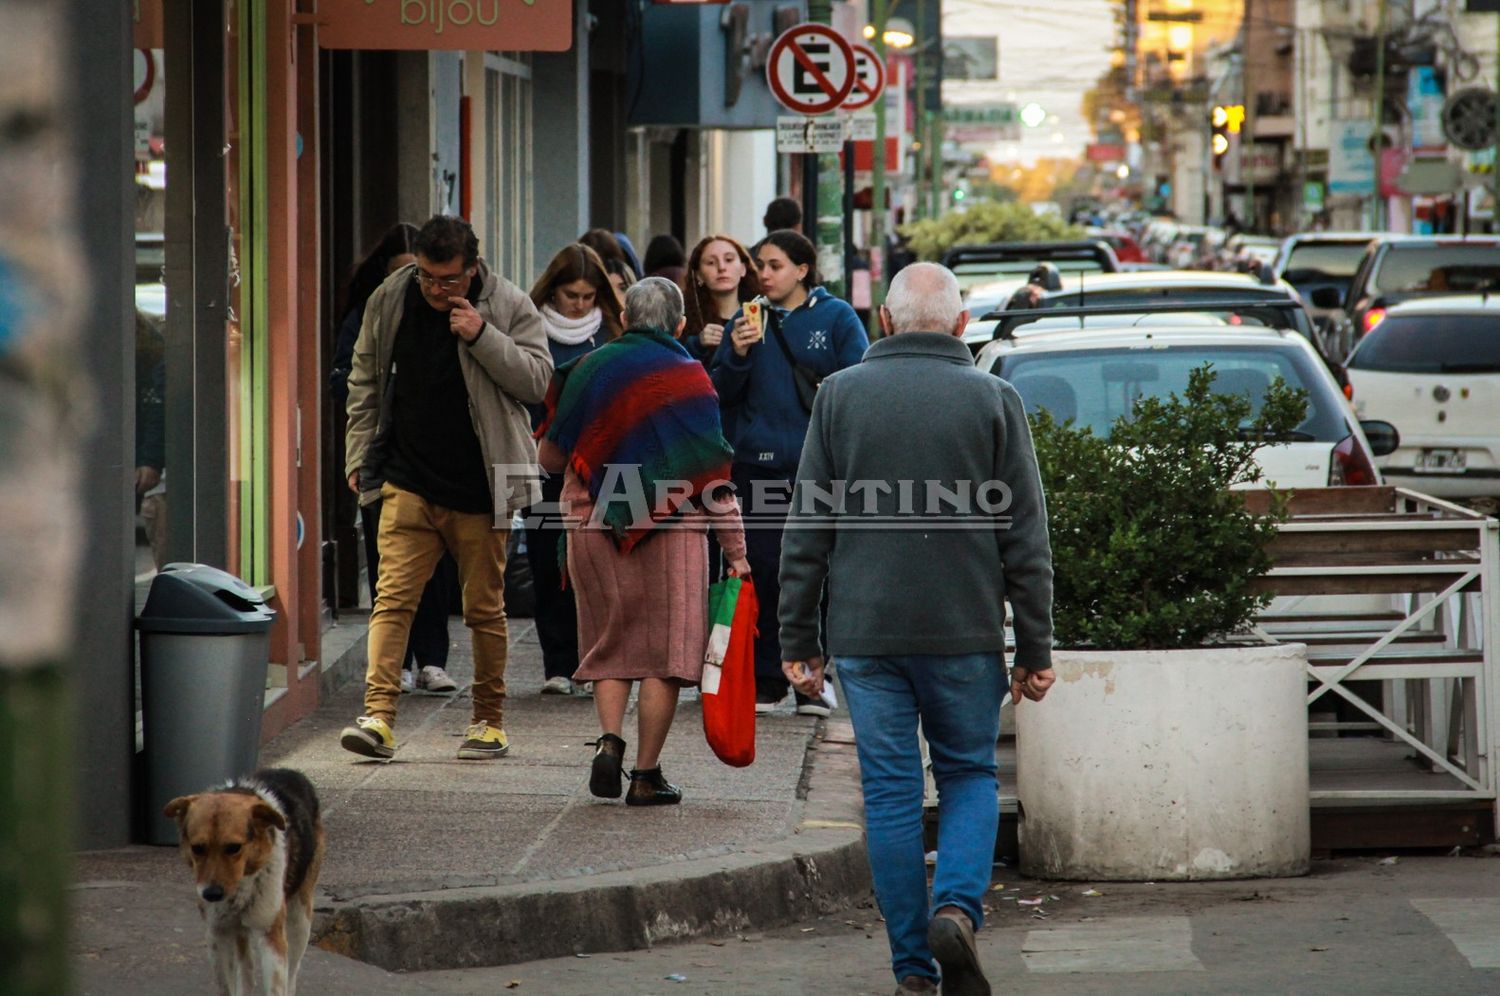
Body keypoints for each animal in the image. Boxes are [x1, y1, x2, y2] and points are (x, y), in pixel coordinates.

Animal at [164, 765, 325, 990]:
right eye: (197, 848)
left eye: (234, 848)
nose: (211, 894)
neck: (240, 886)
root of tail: (291, 771)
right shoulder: (217, 935)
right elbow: (228, 986)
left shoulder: (270, 935)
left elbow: (276, 985)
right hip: (240, 932)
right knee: (246, 968)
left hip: (301, 920)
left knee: (292, 971)